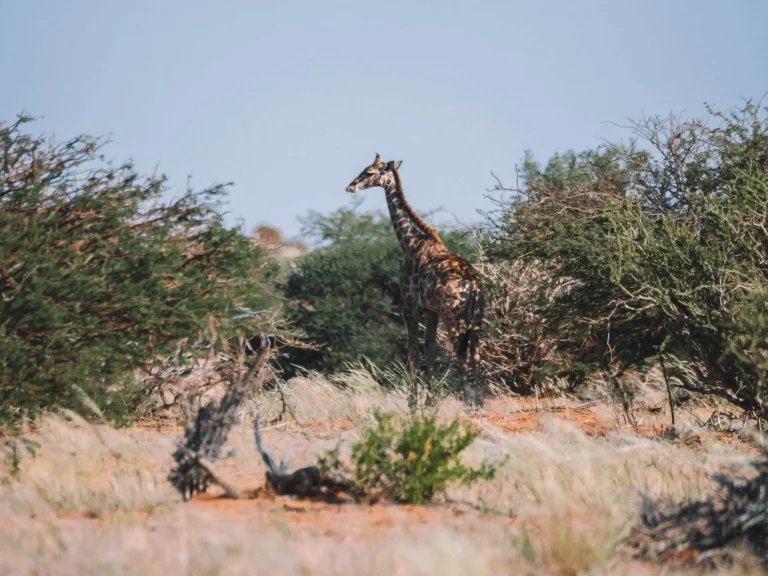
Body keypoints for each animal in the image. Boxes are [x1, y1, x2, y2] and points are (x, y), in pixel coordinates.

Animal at [344, 151, 484, 408]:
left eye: (369, 172)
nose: (350, 187)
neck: (410, 242)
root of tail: (473, 286)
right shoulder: (430, 310)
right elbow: (429, 350)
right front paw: (429, 402)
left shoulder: (409, 304)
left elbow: (413, 352)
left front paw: (412, 404)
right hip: (477, 318)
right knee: (476, 353)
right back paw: (478, 402)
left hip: (453, 316)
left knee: (460, 354)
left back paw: (466, 402)